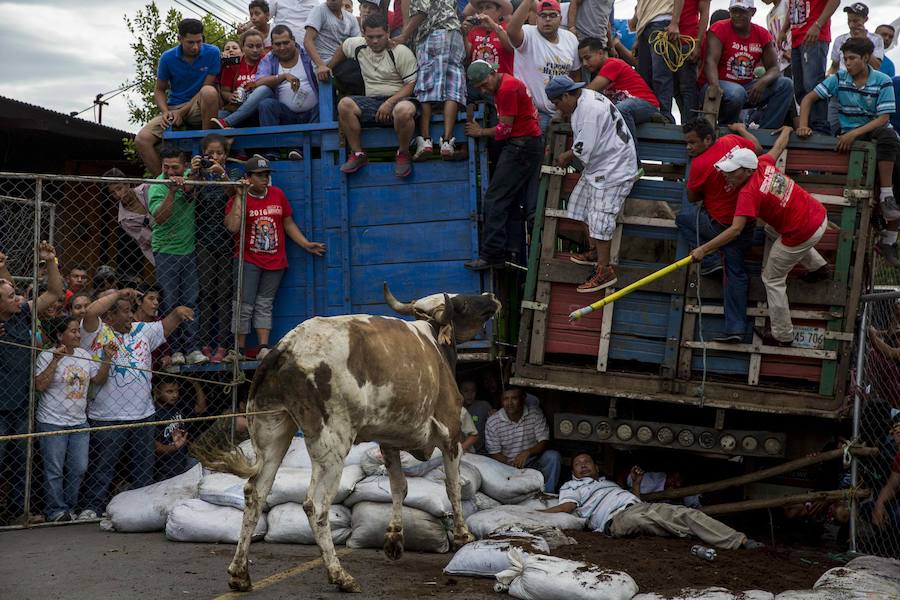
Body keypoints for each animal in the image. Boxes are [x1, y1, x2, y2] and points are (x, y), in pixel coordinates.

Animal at [202, 284, 500, 592]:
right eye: (463, 302)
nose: (491, 296)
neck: (434, 347)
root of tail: (286, 347)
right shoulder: (450, 433)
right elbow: (453, 486)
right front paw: (463, 536)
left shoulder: (389, 441)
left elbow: (399, 487)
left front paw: (394, 539)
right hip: (331, 444)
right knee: (316, 505)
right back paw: (339, 575)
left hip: (272, 429)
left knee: (255, 494)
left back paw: (239, 573)